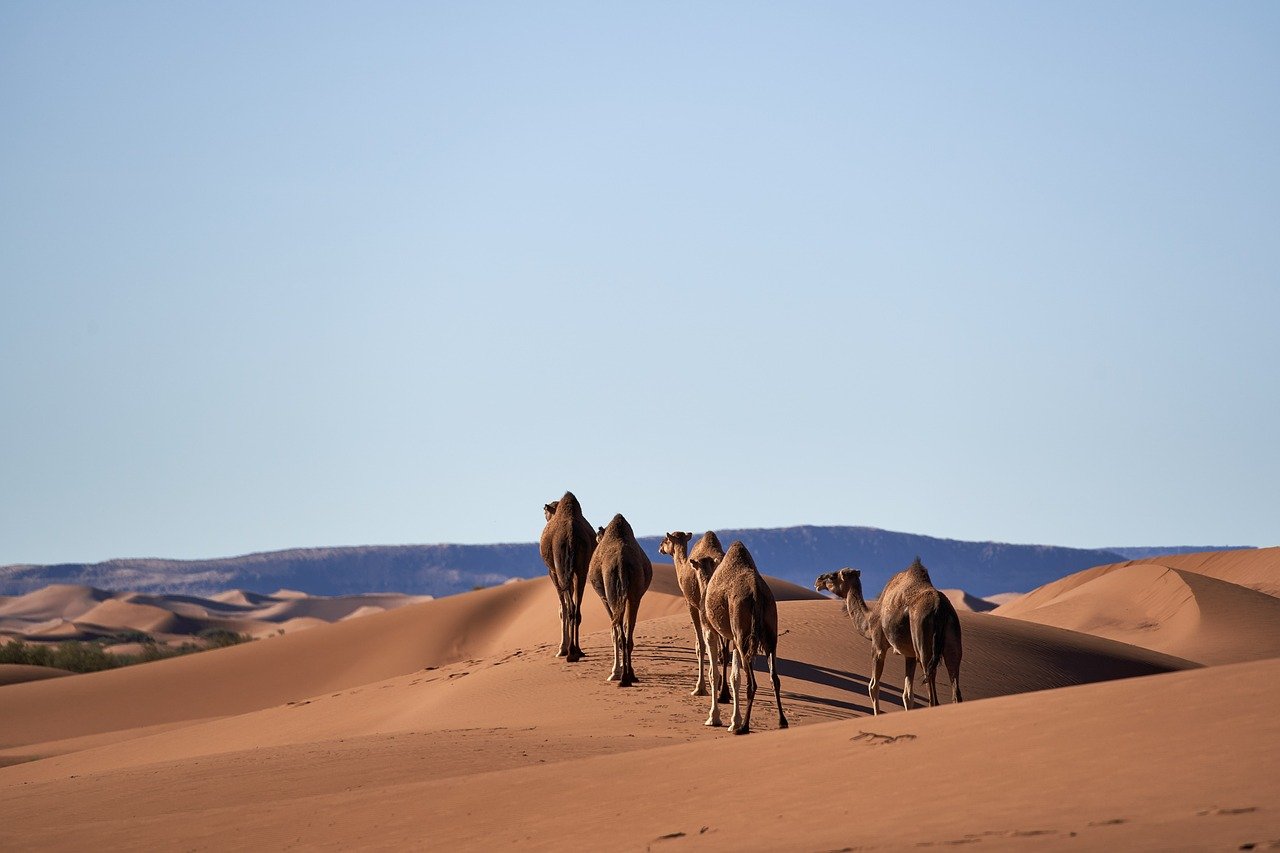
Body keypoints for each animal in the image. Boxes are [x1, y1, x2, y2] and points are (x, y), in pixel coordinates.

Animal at [538, 491, 595, 662]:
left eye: (546, 512)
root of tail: (571, 535)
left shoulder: (553, 572)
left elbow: (561, 609)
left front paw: (561, 649)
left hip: (562, 568)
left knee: (569, 608)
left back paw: (570, 652)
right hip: (581, 569)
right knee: (576, 609)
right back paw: (578, 651)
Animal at [588, 513, 653, 687]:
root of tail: (621, 562)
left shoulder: (604, 597)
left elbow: (613, 631)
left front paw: (614, 672)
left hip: (612, 594)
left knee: (620, 633)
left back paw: (623, 677)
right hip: (634, 593)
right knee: (628, 634)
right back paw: (631, 675)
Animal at [660, 530, 730, 700]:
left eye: (666, 540)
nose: (659, 547)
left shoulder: (691, 604)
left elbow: (700, 645)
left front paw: (700, 688)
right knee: (725, 649)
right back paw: (724, 691)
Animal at [689, 541, 787, 735]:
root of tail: (756, 593)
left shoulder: (709, 628)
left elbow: (714, 674)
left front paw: (714, 718)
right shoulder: (734, 639)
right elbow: (735, 677)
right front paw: (734, 721)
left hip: (743, 632)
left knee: (752, 683)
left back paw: (745, 727)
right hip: (769, 632)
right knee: (775, 677)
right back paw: (782, 722)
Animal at [815, 558, 963, 715]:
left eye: (833, 576)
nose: (818, 580)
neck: (870, 621)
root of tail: (939, 607)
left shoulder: (878, 645)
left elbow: (873, 686)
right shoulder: (909, 655)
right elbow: (907, 695)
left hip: (923, 641)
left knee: (932, 693)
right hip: (952, 639)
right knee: (955, 683)